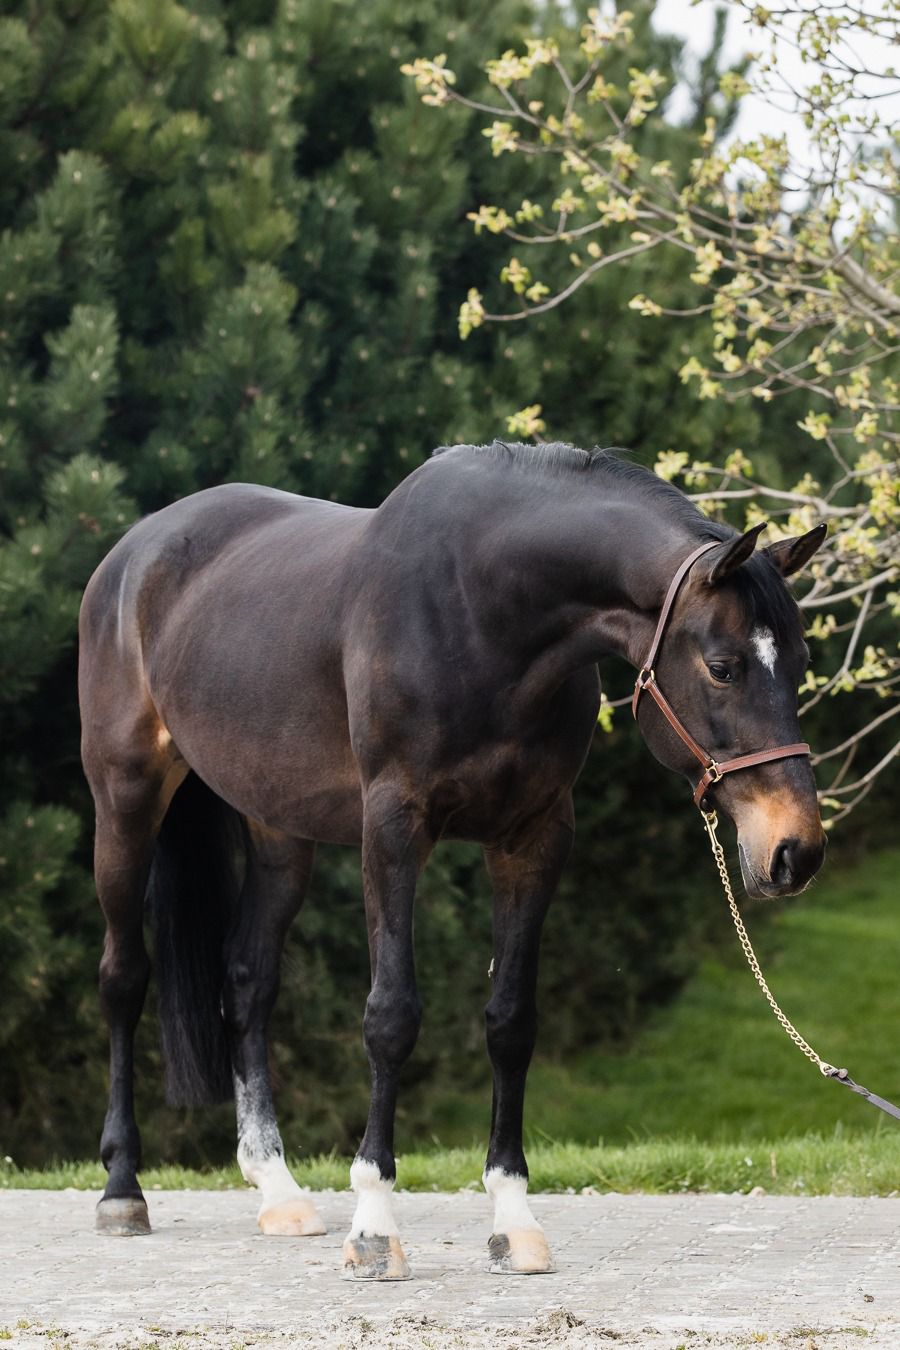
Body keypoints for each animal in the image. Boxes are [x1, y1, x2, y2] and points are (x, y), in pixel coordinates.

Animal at [78, 441, 827, 1278]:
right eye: (724, 666)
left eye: (799, 661)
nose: (796, 850)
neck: (482, 614)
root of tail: (135, 551)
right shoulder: (393, 828)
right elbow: (391, 1016)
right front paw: (374, 1226)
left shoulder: (535, 837)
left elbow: (511, 1021)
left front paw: (514, 1220)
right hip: (126, 798)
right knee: (123, 978)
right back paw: (122, 1190)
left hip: (277, 829)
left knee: (247, 980)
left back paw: (278, 1189)